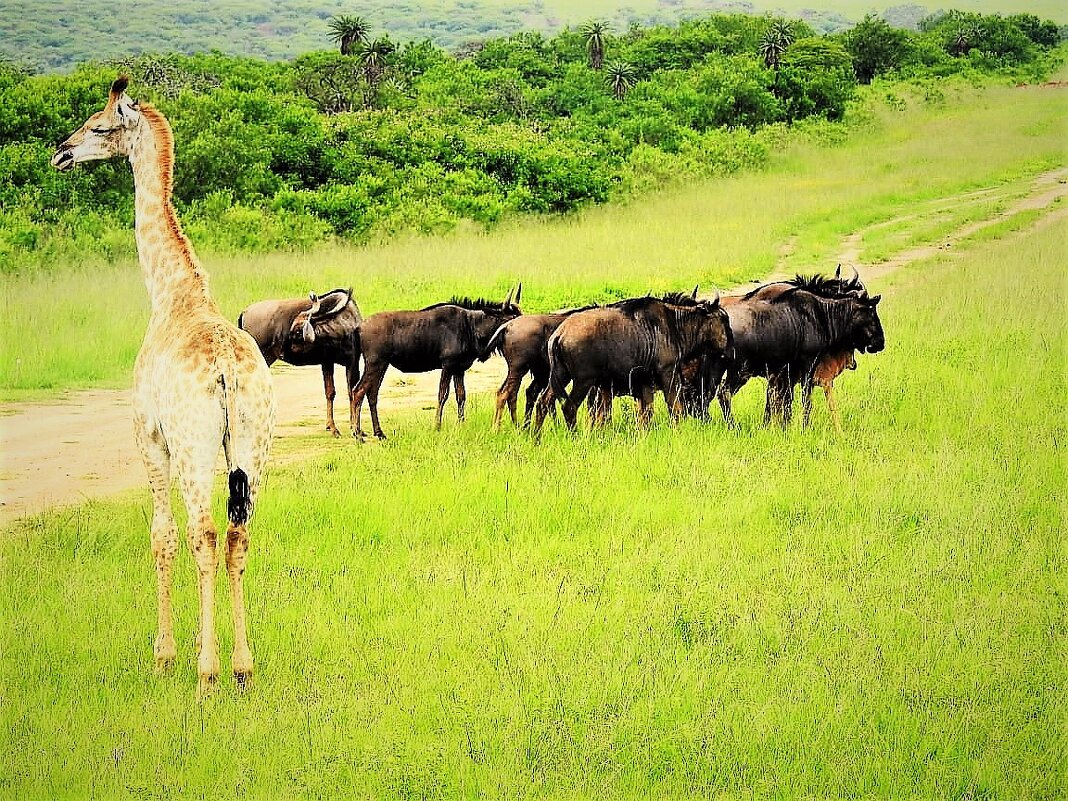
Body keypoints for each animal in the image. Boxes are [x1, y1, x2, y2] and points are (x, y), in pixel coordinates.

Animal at [52, 76, 275, 696]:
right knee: (238, 534)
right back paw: (243, 667)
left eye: (99, 125)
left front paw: (165, 656)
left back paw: (207, 671)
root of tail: (227, 373)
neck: (170, 293)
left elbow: (161, 536)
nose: (61, 152)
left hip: (194, 450)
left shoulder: (149, 439)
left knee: (204, 533)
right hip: (254, 448)